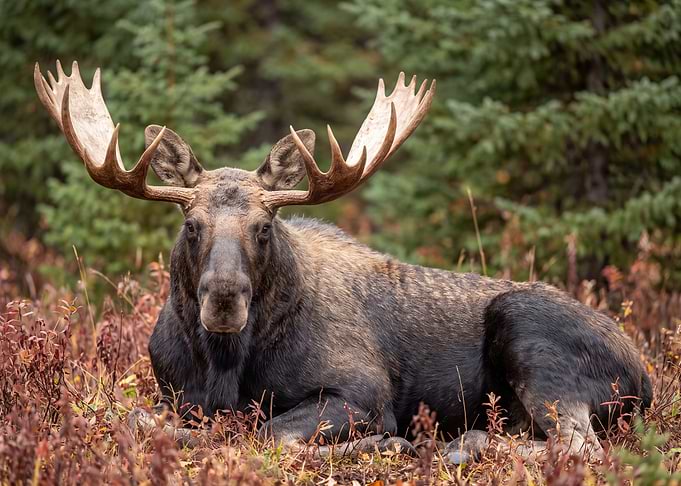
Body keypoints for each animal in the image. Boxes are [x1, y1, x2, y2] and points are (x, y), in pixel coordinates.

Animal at [34, 61, 652, 463]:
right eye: (192, 225)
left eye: (264, 228)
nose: (224, 298)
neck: (225, 363)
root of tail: (647, 378)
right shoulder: (170, 395)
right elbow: (139, 420)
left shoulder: (362, 391)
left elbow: (268, 433)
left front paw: (382, 440)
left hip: (532, 339)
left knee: (578, 448)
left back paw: (446, 444)